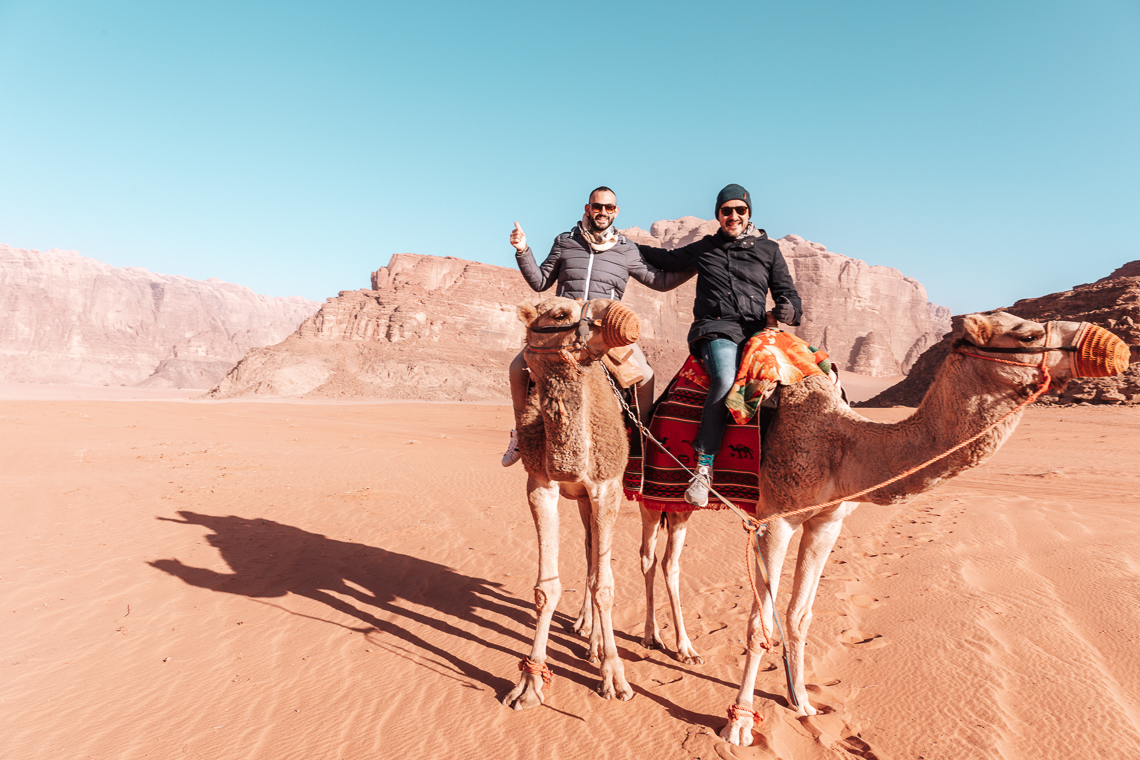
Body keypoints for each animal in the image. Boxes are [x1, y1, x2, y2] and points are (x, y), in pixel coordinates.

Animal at [501, 293, 642, 711]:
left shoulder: (606, 488)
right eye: (560, 313)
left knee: (597, 559)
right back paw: (586, 629)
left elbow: (605, 586)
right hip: (578, 500)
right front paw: (530, 682)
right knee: (588, 549)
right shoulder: (539, 485)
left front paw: (615, 676)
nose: (623, 318)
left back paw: (595, 643)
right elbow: (546, 588)